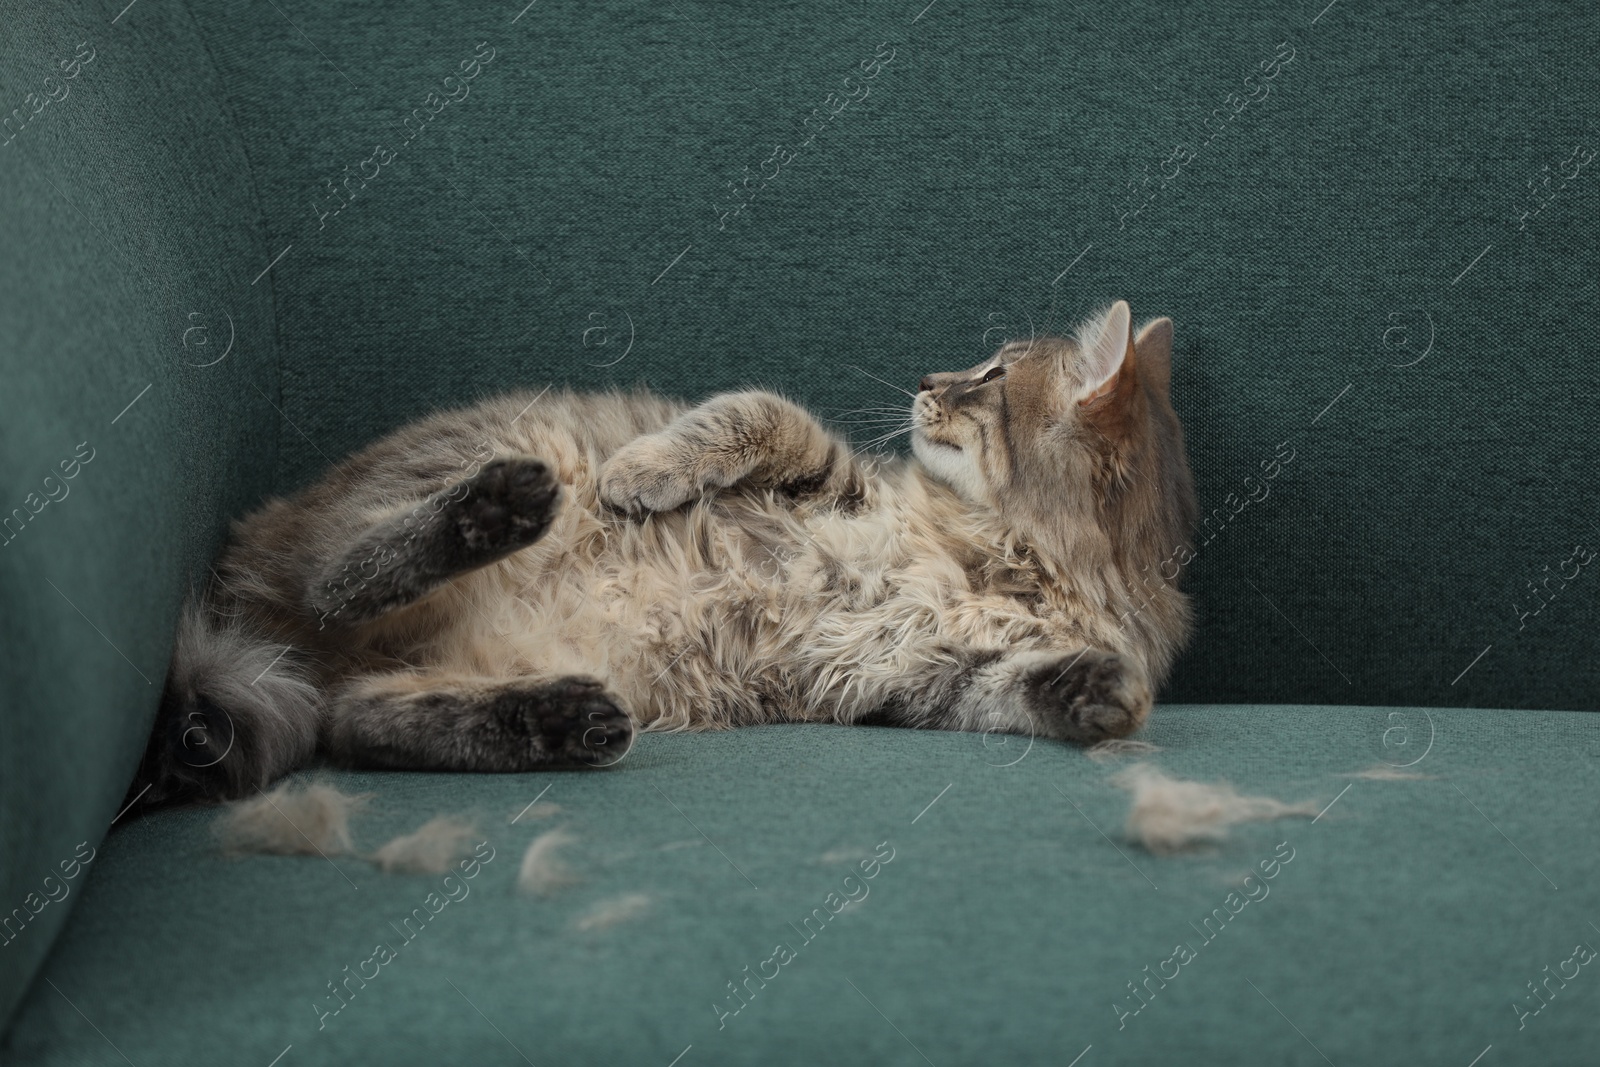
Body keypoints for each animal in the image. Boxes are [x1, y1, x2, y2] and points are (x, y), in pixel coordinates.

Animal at [131, 302, 1196, 809]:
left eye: (988, 376)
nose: (927, 378)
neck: (1005, 556)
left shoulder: (916, 671)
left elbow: (1014, 686)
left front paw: (1098, 693)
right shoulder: (831, 478)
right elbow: (757, 413)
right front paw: (642, 470)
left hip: (410, 670)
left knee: (353, 721)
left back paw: (562, 719)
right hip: (501, 452)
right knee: (338, 580)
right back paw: (497, 514)